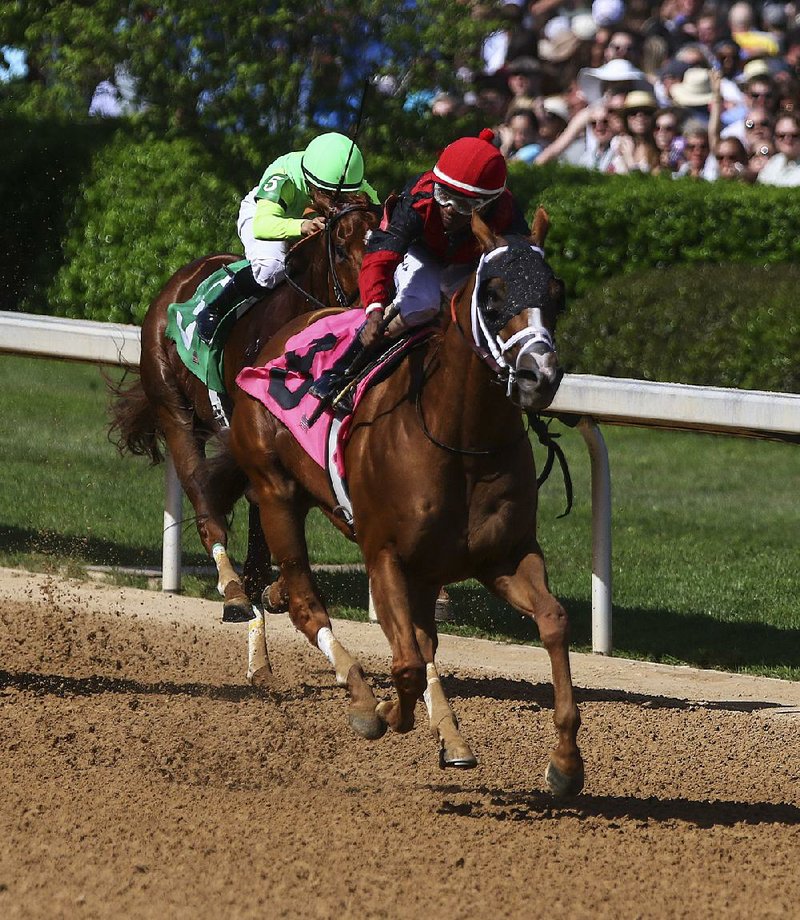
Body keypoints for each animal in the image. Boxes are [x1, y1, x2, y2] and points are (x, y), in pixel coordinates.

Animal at [108, 199, 380, 624]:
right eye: (339, 247)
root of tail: (181, 279)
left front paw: (276, 587)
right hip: (173, 405)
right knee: (202, 495)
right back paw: (234, 590)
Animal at [209, 208, 584, 796]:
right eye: (492, 294)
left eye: (556, 292)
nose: (538, 375)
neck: (459, 439)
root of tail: (279, 334)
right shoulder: (384, 552)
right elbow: (405, 662)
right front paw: (383, 710)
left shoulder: (502, 555)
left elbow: (553, 620)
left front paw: (566, 762)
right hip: (274, 490)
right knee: (306, 601)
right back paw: (361, 696)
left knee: (410, 634)